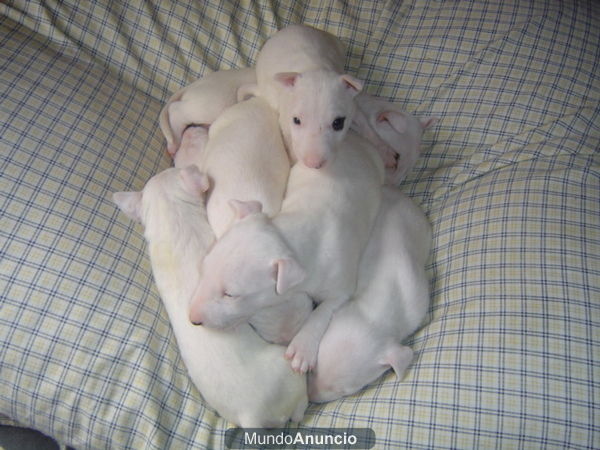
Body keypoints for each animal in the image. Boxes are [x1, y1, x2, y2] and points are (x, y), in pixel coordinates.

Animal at [189, 130, 384, 372]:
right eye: (204, 268)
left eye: (231, 294)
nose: (192, 319)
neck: (289, 237)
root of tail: (355, 142)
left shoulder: (342, 284)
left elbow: (324, 309)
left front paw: (302, 349)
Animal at [251, 23, 364, 170]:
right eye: (296, 120)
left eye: (338, 123)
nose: (313, 163)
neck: (315, 67)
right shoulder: (285, 122)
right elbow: (290, 142)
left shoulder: (353, 106)